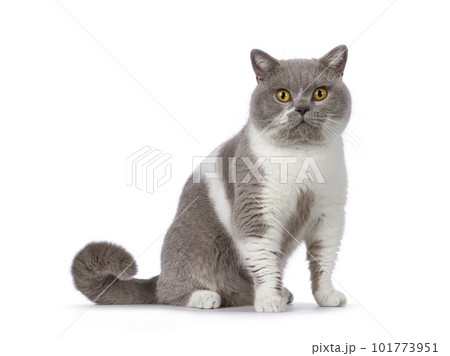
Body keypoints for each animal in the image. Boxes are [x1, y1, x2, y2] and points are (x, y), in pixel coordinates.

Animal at [71, 44, 352, 312]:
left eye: (320, 93)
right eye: (283, 95)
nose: (302, 108)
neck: (303, 157)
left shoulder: (328, 216)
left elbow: (323, 261)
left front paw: (326, 296)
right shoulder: (256, 212)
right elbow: (264, 262)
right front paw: (270, 300)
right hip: (200, 244)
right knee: (169, 292)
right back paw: (205, 297)